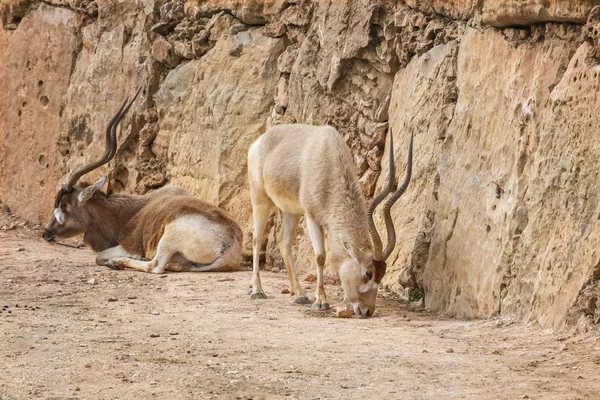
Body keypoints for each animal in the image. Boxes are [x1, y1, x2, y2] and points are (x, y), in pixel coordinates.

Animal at [42, 89, 244, 274]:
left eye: (64, 204)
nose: (46, 234)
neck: (125, 212)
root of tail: (230, 246)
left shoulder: (127, 245)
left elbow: (99, 256)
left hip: (169, 237)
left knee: (155, 266)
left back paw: (119, 262)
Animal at [248, 123, 412, 318]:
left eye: (381, 275)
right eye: (368, 273)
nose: (367, 311)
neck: (328, 156)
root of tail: (258, 142)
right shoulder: (312, 216)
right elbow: (320, 257)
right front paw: (321, 302)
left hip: (291, 211)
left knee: (284, 242)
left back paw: (300, 294)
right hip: (260, 199)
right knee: (257, 239)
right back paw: (258, 291)